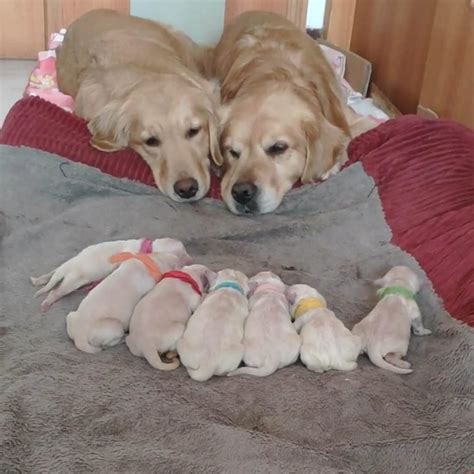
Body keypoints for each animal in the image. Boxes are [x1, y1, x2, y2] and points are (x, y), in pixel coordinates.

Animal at [28, 237, 189, 312]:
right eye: (183, 253)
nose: (191, 258)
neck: (148, 247)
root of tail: (66, 268)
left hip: (62, 270)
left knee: (50, 275)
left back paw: (38, 280)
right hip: (72, 282)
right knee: (55, 291)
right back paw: (47, 302)